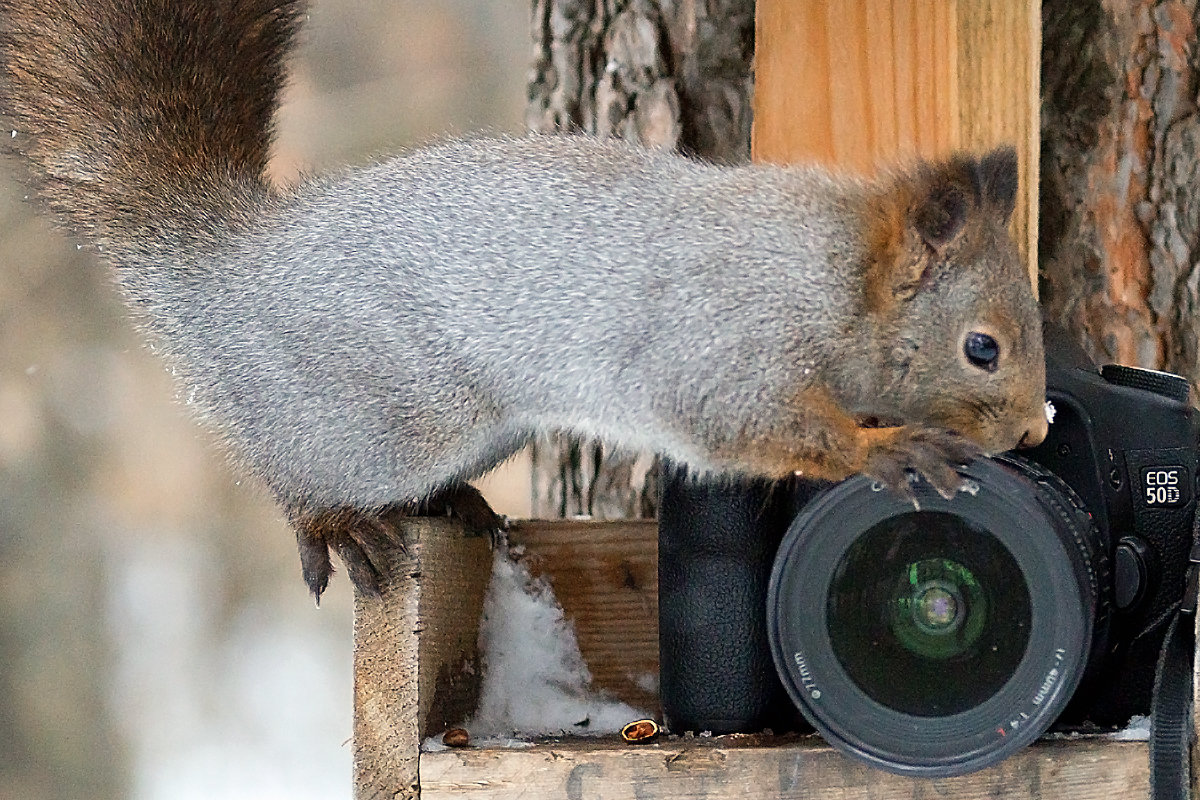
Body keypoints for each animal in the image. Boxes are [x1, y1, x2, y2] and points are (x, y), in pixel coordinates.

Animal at [0, 0, 1051, 599]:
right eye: (983, 347)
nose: (1032, 429)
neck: (830, 274)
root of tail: (221, 267)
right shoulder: (721, 345)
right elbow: (747, 424)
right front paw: (886, 448)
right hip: (374, 419)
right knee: (286, 465)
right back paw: (329, 523)